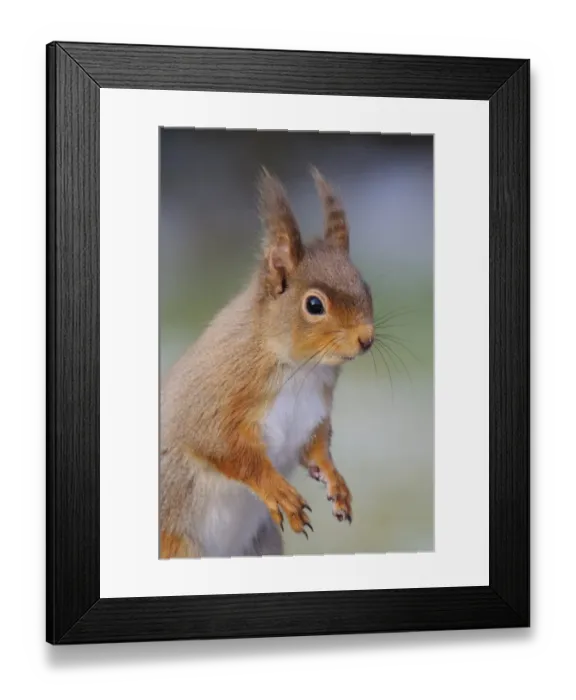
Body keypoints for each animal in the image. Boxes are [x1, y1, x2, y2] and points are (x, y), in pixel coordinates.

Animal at [159, 166, 375, 559]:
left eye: (365, 287)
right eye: (314, 305)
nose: (366, 339)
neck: (301, 368)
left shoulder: (314, 414)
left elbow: (316, 448)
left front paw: (335, 482)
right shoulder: (215, 397)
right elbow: (223, 446)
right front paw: (277, 491)